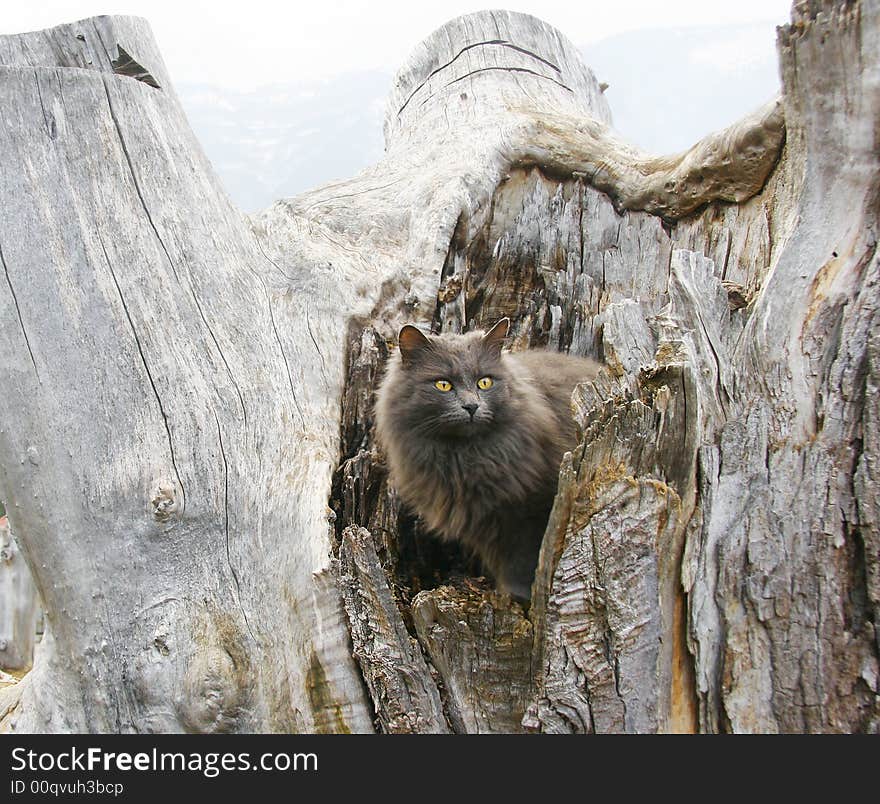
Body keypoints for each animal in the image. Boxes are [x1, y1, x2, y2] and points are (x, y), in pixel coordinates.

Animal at [374, 318, 600, 600]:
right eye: (443, 384)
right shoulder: (484, 524)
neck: (464, 458)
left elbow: (523, 559)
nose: (471, 406)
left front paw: (520, 596)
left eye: (484, 382)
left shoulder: (531, 508)